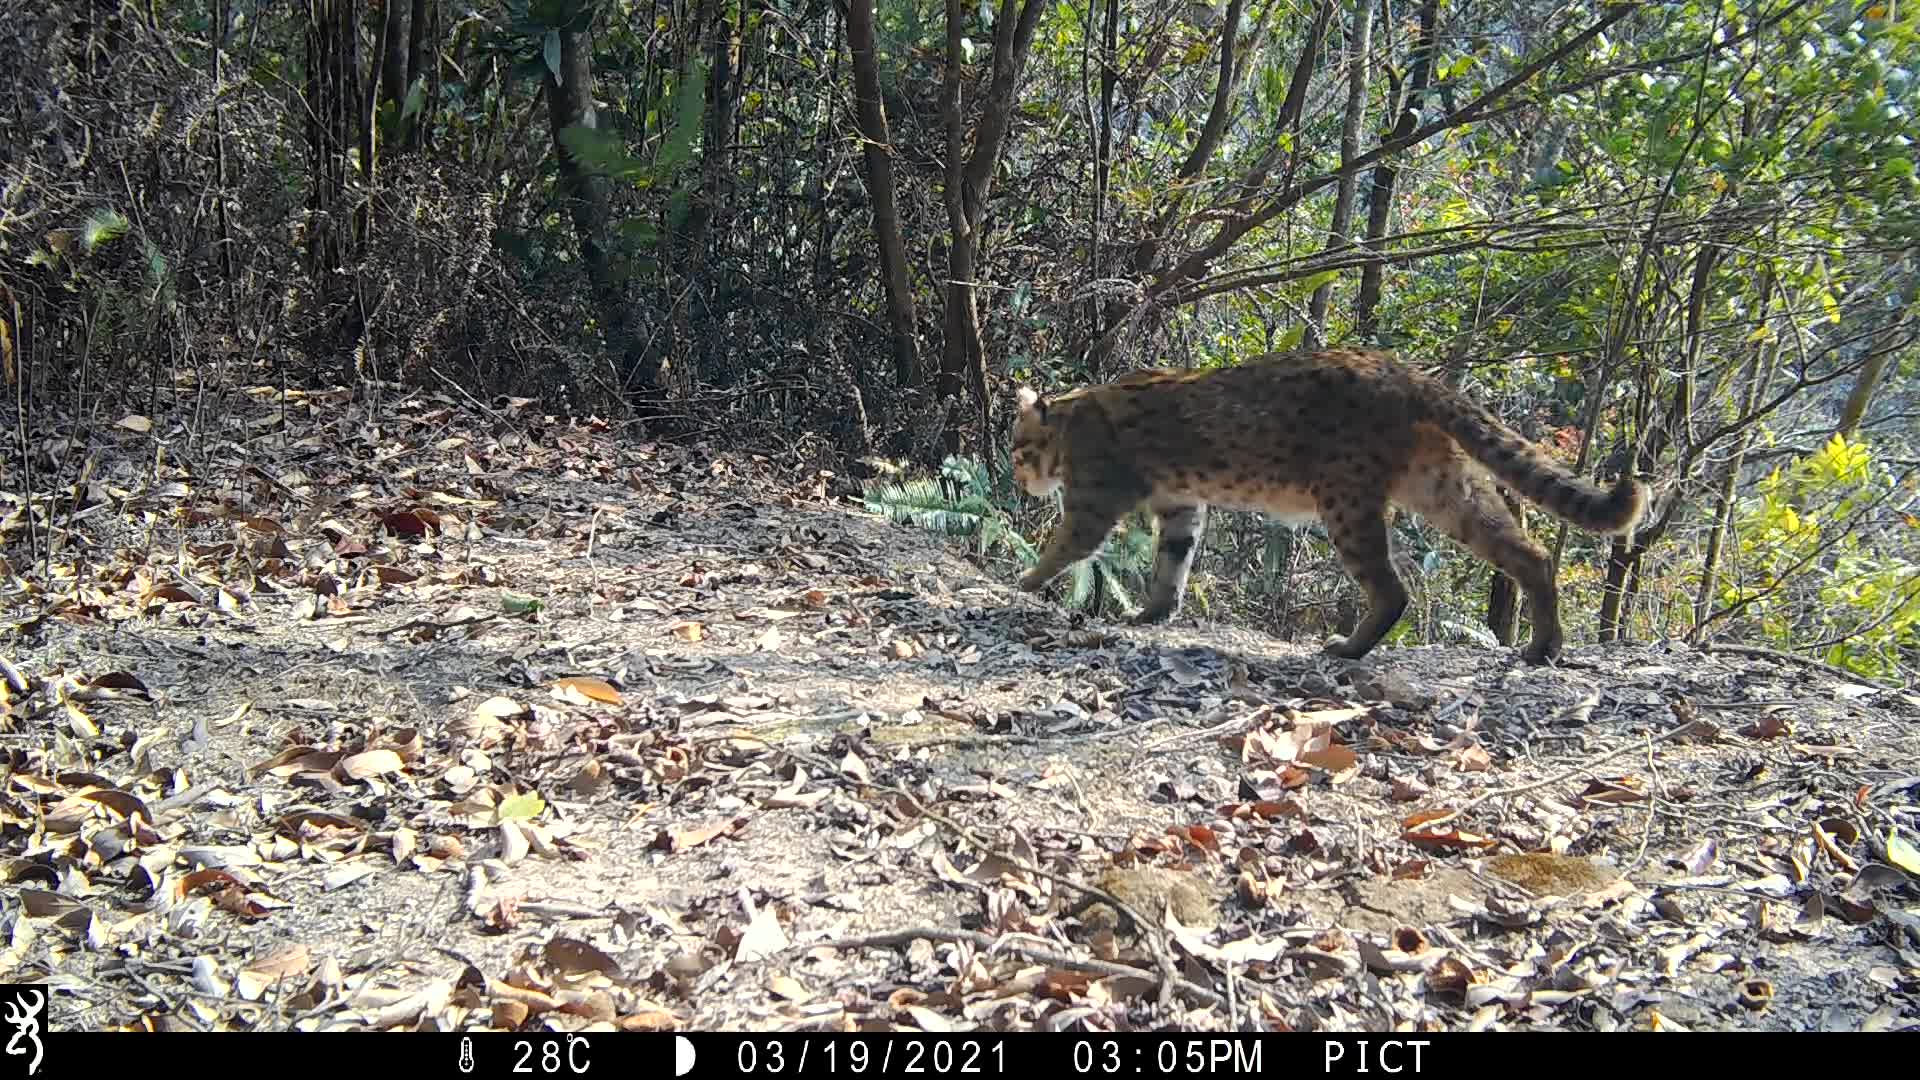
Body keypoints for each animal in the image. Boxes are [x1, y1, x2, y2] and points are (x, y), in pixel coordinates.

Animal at [1006, 349, 1651, 661]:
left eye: (1017, 447)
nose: (1015, 476)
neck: (1073, 417)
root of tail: (1406, 372)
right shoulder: (1182, 504)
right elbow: (1174, 563)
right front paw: (1153, 613)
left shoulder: (1096, 500)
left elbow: (1064, 547)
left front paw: (1023, 582)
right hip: (1445, 489)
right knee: (1532, 554)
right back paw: (1543, 647)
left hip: (1345, 501)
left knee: (1392, 590)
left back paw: (1349, 648)